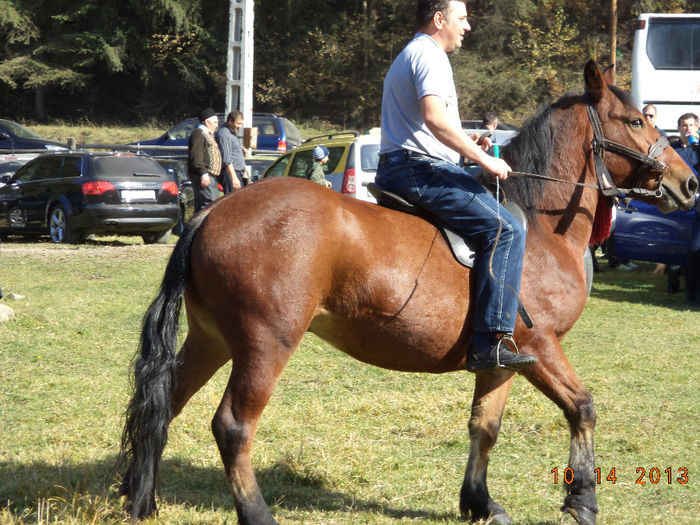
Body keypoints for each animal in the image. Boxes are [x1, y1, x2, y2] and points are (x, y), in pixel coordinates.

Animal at [119, 62, 696, 524]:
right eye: (636, 121)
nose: (689, 183)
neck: (538, 224)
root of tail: (213, 211)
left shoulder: (502, 358)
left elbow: (484, 427)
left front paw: (479, 503)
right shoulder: (541, 345)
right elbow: (582, 408)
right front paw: (583, 501)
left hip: (212, 339)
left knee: (161, 406)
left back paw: (138, 497)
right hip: (266, 343)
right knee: (233, 426)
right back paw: (255, 512)